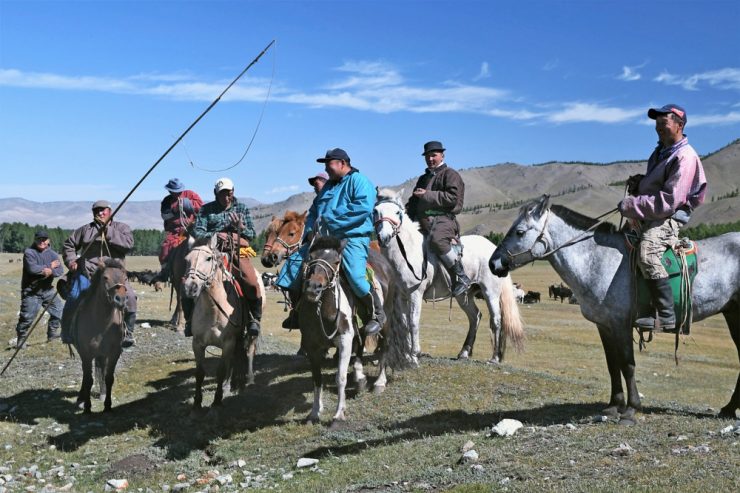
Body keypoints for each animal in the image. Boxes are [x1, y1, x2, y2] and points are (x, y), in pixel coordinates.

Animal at [71, 258, 129, 412]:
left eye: (125, 278)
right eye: (105, 277)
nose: (120, 300)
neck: (101, 322)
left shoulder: (114, 352)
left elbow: (109, 378)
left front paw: (108, 405)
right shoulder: (86, 353)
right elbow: (88, 379)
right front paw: (87, 407)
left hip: (102, 354)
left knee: (102, 370)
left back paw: (102, 394)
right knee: (85, 375)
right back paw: (81, 399)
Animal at [372, 186, 524, 364]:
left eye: (397, 212)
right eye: (376, 211)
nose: (384, 237)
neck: (407, 252)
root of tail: (493, 248)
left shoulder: (415, 293)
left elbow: (413, 322)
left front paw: (414, 354)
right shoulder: (400, 296)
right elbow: (403, 323)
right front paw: (406, 355)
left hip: (490, 292)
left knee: (496, 319)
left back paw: (494, 358)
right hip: (464, 295)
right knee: (475, 316)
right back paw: (464, 352)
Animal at [488, 195, 736, 422]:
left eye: (520, 232)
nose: (493, 263)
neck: (598, 260)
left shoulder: (620, 324)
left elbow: (627, 364)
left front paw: (631, 409)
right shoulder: (604, 325)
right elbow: (612, 364)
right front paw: (614, 406)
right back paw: (728, 409)